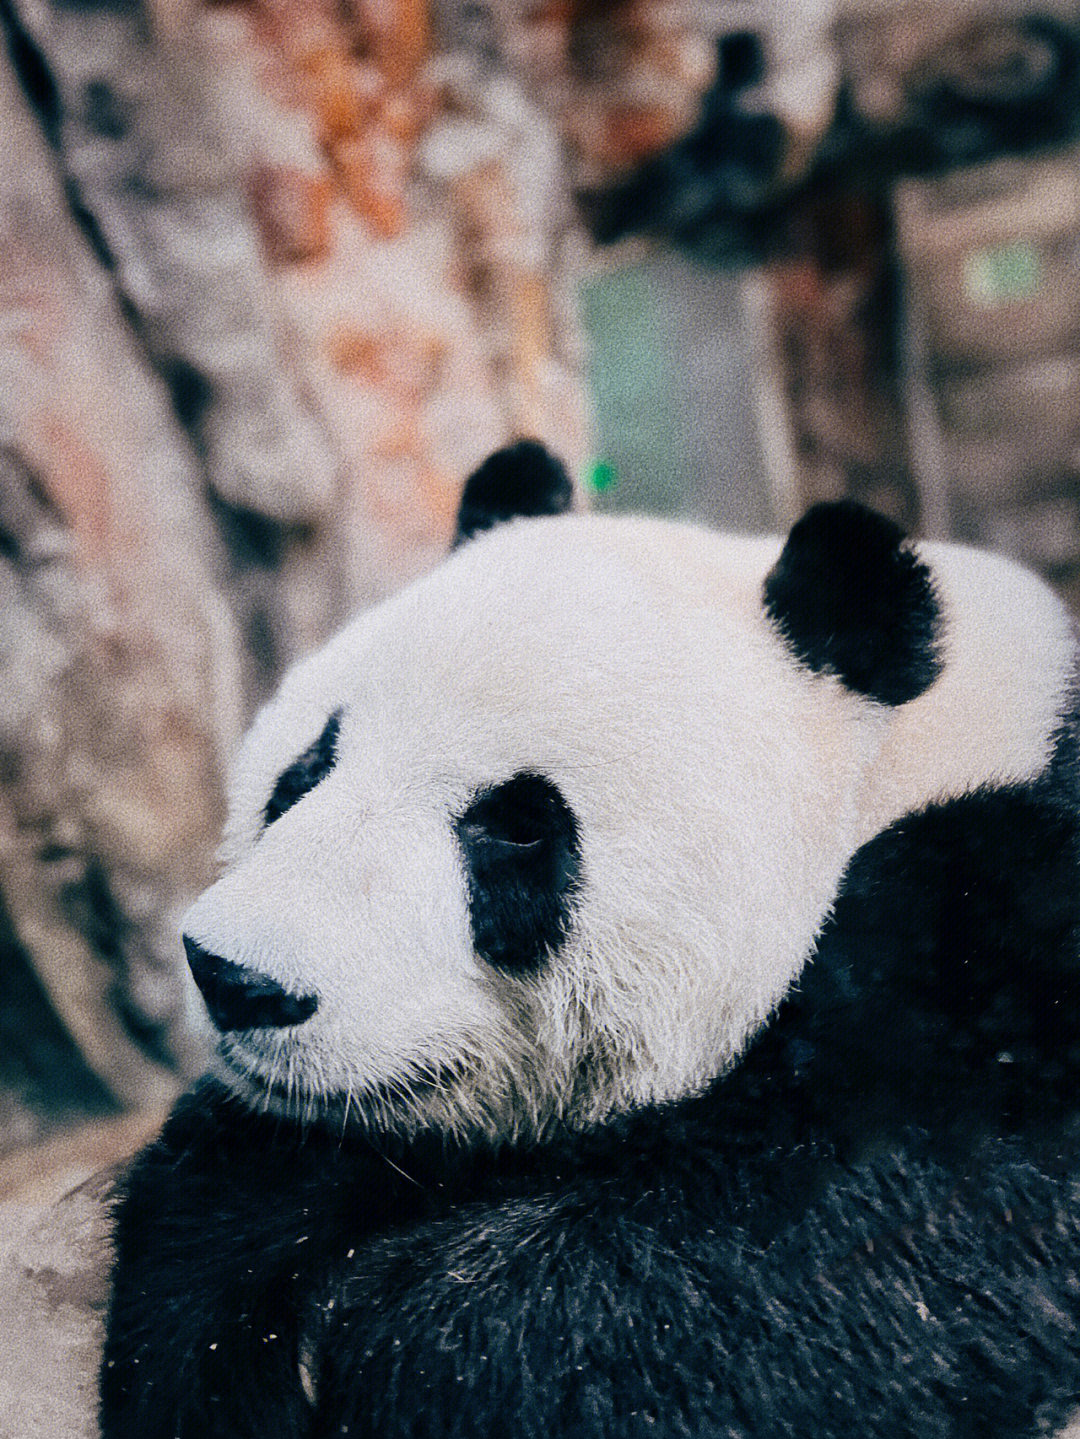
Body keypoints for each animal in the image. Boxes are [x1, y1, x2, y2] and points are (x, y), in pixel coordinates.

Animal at [99, 443, 1080, 1439]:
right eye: (308, 765)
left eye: (517, 827)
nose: (237, 979)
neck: (909, 763)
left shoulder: (997, 939)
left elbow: (813, 1244)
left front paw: (418, 1357)